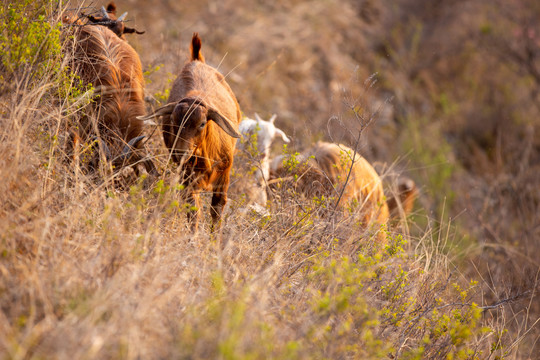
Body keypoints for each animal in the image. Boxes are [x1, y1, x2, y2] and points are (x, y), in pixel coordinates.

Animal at [138, 33, 242, 231]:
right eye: (173, 121)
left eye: (202, 123)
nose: (180, 152)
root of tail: (196, 60)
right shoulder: (188, 177)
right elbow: (193, 210)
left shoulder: (224, 174)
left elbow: (217, 208)